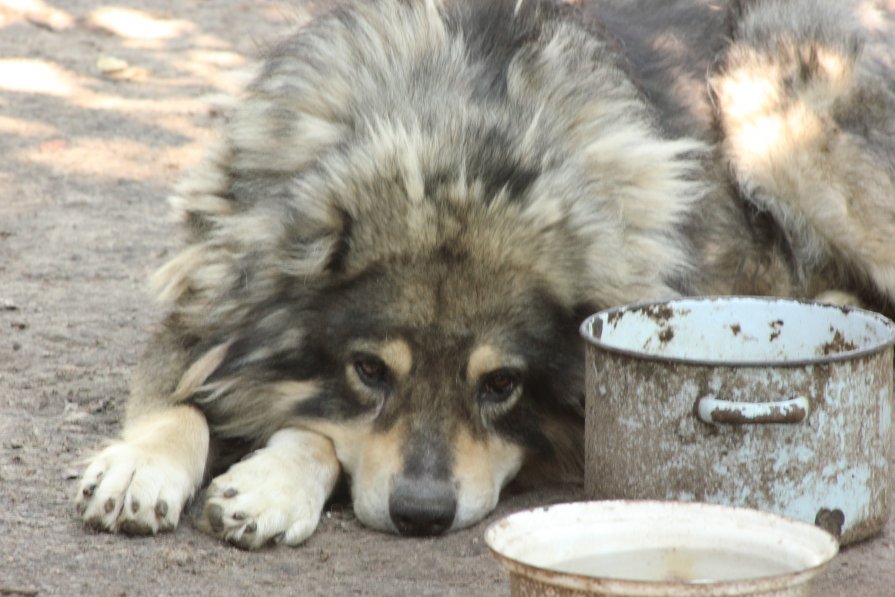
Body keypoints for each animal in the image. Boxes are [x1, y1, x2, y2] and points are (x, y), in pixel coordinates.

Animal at [77, 0, 895, 548]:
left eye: (502, 384)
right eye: (369, 370)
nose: (421, 516)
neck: (460, 143)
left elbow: (322, 435)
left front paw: (271, 483)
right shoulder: (207, 298)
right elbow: (178, 399)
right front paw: (142, 467)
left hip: (780, 133)